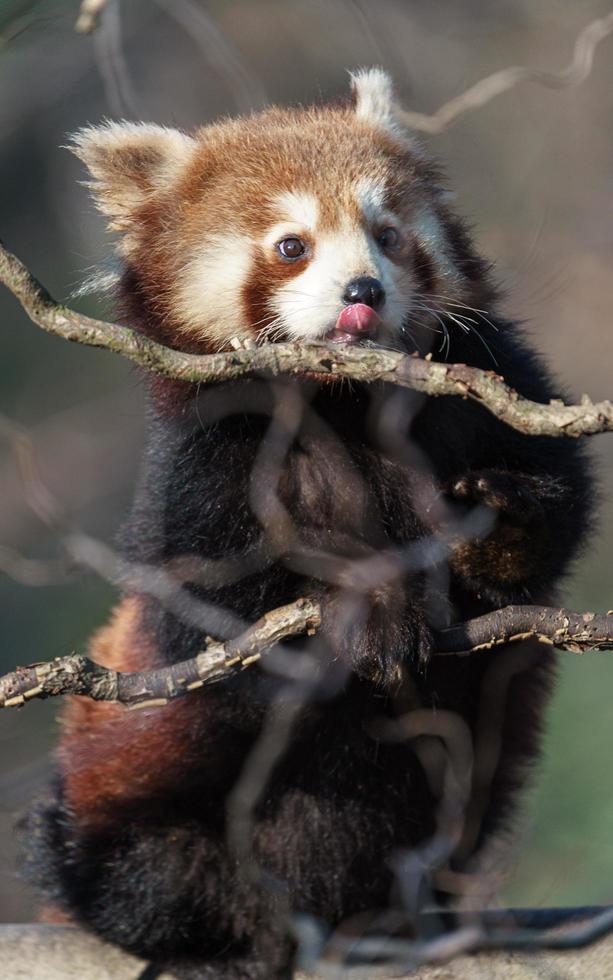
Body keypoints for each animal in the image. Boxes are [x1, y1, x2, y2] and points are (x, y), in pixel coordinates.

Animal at [21, 71, 592, 980]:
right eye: (291, 246)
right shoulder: (207, 466)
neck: (344, 400)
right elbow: (216, 625)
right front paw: (369, 607)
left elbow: (557, 515)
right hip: (126, 797)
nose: (363, 292)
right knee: (127, 864)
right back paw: (215, 941)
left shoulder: (493, 384)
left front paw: (498, 524)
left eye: (388, 235)